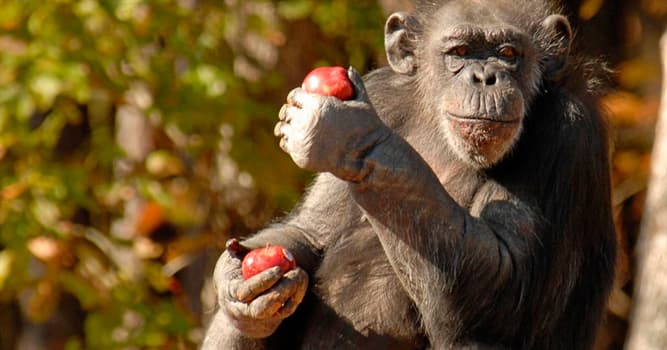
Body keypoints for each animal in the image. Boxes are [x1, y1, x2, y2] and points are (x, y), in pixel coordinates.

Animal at [202, 0, 616, 348]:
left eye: (509, 54)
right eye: (460, 52)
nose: (486, 77)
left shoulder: (567, 134)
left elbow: (507, 290)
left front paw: (349, 135)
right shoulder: (381, 92)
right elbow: (312, 232)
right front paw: (235, 286)